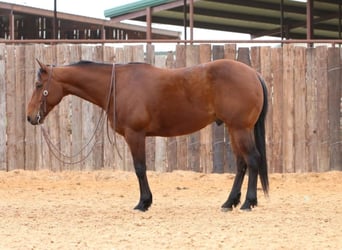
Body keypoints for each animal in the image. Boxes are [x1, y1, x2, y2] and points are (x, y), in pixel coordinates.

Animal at [25, 58, 268, 211]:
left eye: (38, 85)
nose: (30, 117)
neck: (117, 85)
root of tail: (254, 73)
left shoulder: (135, 135)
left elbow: (140, 169)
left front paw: (144, 203)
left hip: (240, 129)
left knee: (253, 160)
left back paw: (248, 202)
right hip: (234, 129)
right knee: (241, 164)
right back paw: (230, 202)